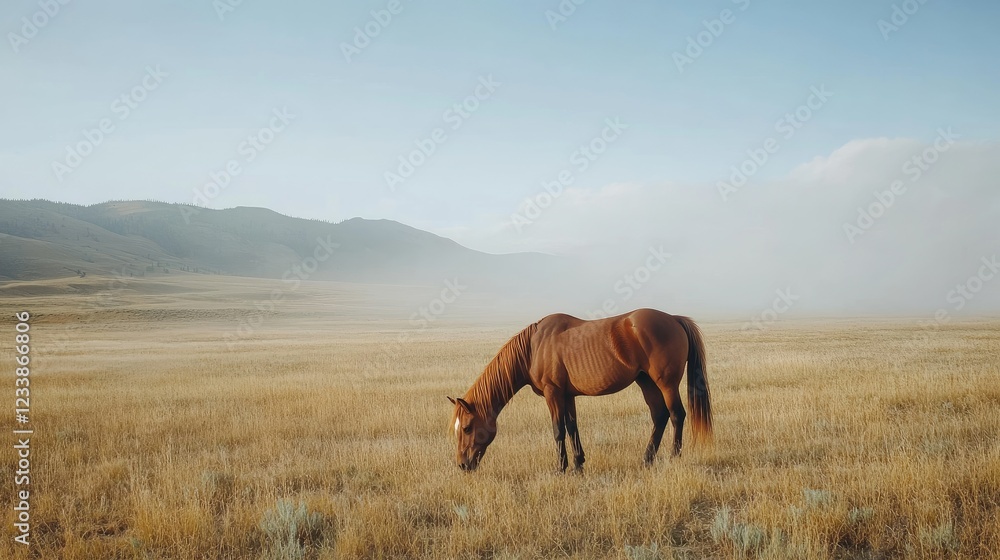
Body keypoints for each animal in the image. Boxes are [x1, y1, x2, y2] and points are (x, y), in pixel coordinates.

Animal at [448, 308, 712, 472]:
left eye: (468, 428)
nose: (462, 464)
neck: (534, 347)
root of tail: (674, 319)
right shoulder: (567, 395)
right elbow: (572, 427)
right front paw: (578, 463)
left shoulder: (553, 393)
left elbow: (558, 430)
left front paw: (560, 467)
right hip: (646, 381)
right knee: (660, 416)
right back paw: (647, 459)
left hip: (666, 383)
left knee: (677, 415)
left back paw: (673, 457)